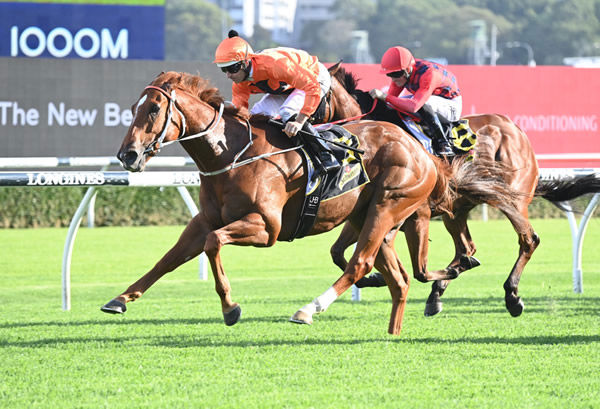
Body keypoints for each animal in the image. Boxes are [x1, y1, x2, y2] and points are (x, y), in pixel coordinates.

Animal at [101, 70, 516, 334]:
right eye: (133, 108)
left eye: (154, 109)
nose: (128, 155)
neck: (231, 153)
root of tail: (422, 151)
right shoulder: (204, 218)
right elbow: (170, 258)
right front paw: (119, 299)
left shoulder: (266, 227)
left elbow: (213, 243)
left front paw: (231, 308)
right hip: (372, 216)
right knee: (398, 279)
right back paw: (395, 328)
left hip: (388, 206)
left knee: (361, 263)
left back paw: (308, 310)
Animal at [326, 66, 600, 316]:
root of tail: (515, 128)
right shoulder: (366, 209)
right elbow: (337, 251)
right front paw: (375, 278)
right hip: (457, 209)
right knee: (466, 248)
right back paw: (437, 294)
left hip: (511, 198)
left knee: (528, 239)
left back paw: (512, 295)